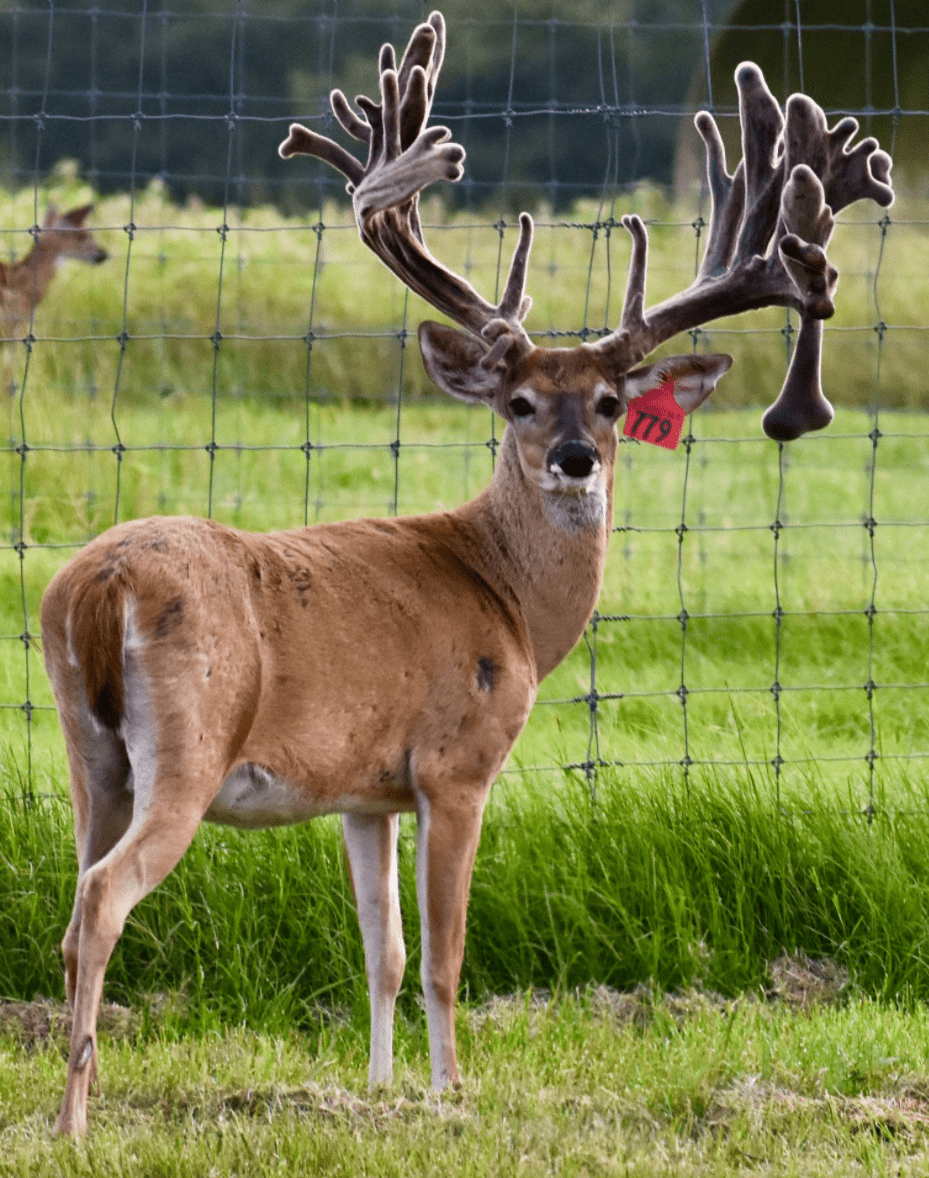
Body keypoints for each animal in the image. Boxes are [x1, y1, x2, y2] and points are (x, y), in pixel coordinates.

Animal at [40, 10, 892, 1137]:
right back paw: (73, 1116)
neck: (511, 602)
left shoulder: (362, 789)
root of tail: (102, 587)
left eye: (610, 403)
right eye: (517, 401)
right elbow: (444, 952)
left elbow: (383, 951)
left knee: (74, 889)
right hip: (187, 743)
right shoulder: (457, 761)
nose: (574, 458)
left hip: (89, 748)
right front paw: (452, 1092)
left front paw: (375, 1089)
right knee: (102, 896)